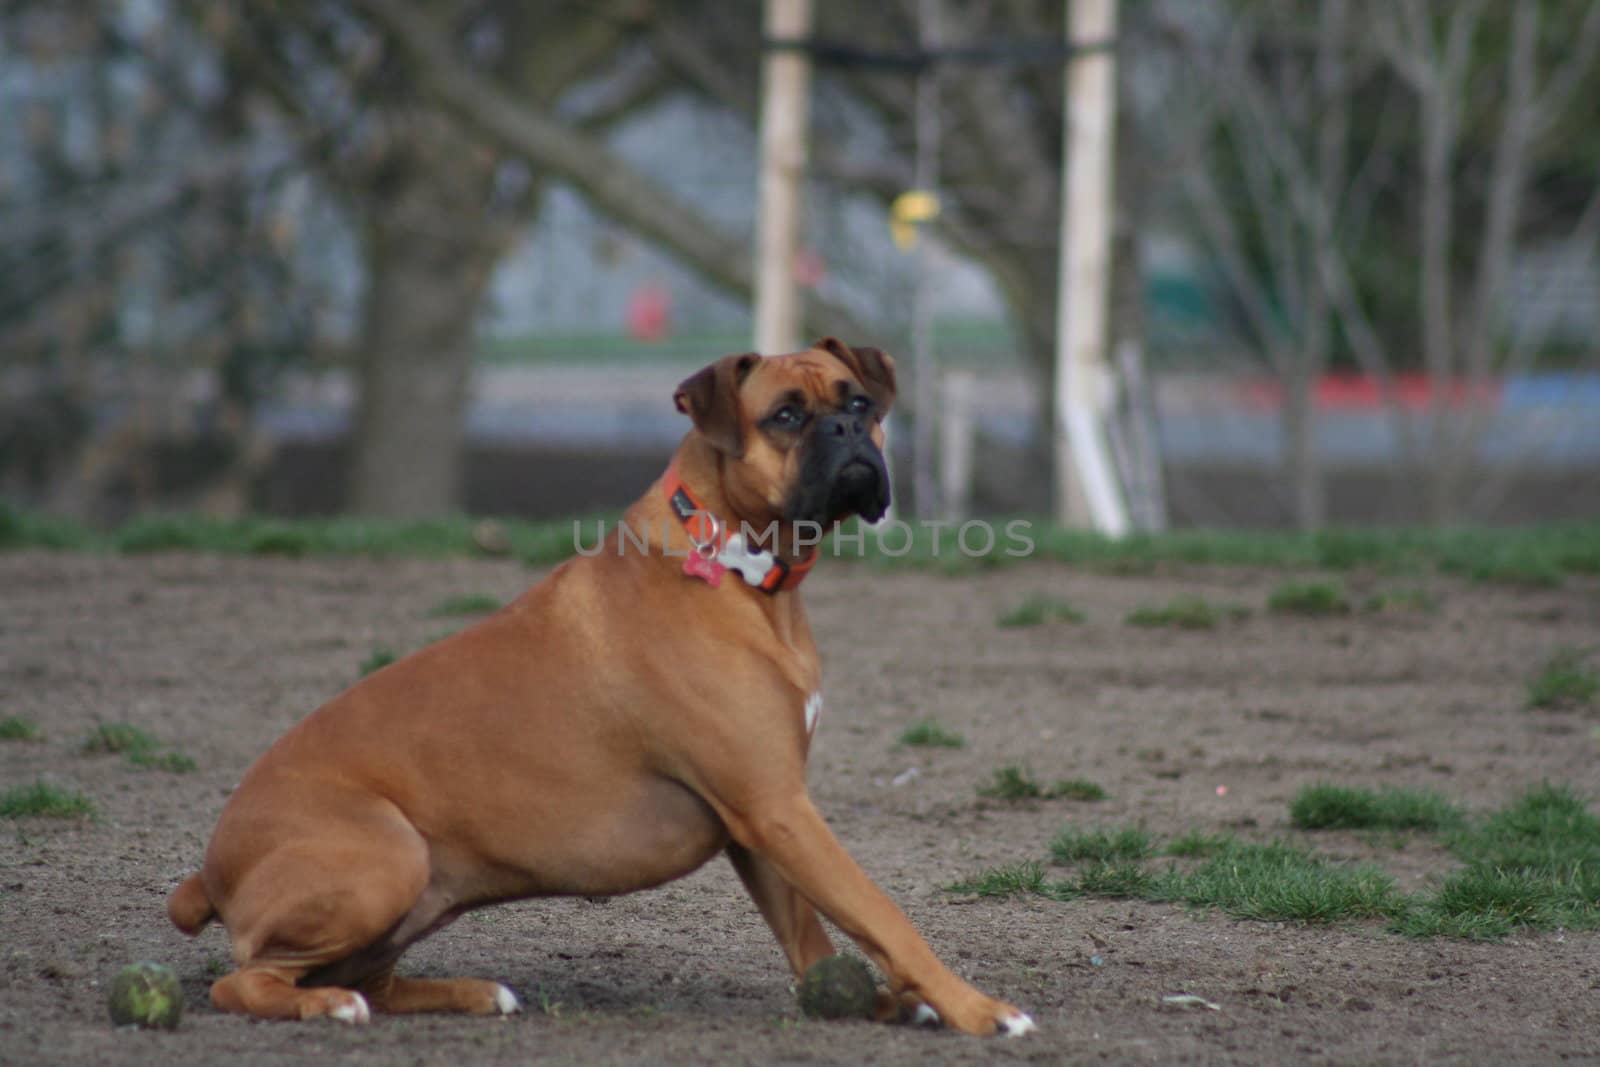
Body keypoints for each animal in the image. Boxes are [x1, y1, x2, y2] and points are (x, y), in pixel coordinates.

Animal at [165, 340, 1036, 1036]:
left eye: (858, 402)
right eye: (787, 415)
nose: (850, 432)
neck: (740, 567)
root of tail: (211, 866)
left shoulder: (762, 821)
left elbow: (814, 937)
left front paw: (869, 1002)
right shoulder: (779, 808)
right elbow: (884, 913)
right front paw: (977, 1009)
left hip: (413, 895)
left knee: (366, 977)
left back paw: (468, 992)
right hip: (388, 858)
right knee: (243, 980)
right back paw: (325, 1005)